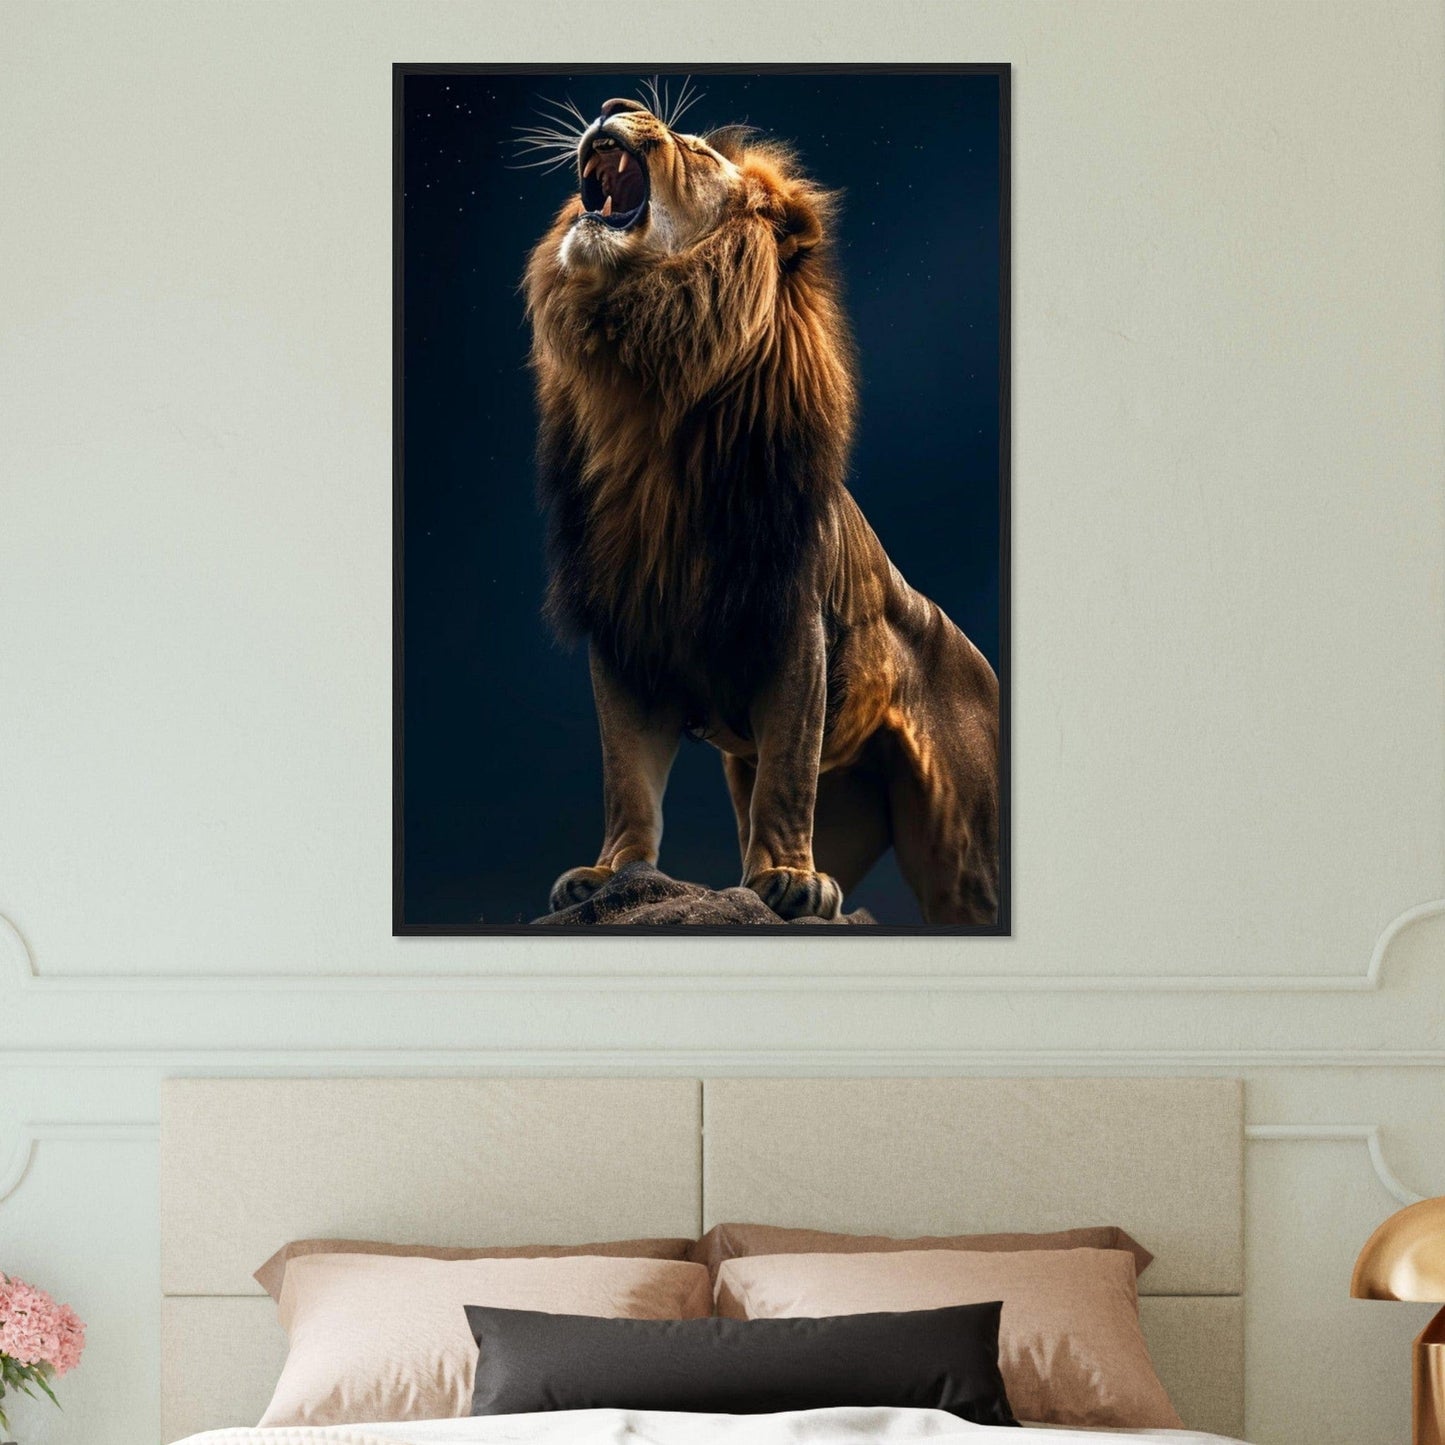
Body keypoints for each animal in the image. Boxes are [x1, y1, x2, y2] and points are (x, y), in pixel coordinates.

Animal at [522, 96, 1000, 925]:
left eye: (691, 148)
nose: (614, 106)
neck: (644, 387)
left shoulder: (790, 623)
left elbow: (785, 768)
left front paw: (788, 879)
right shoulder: (623, 630)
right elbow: (627, 776)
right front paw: (610, 871)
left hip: (965, 853)